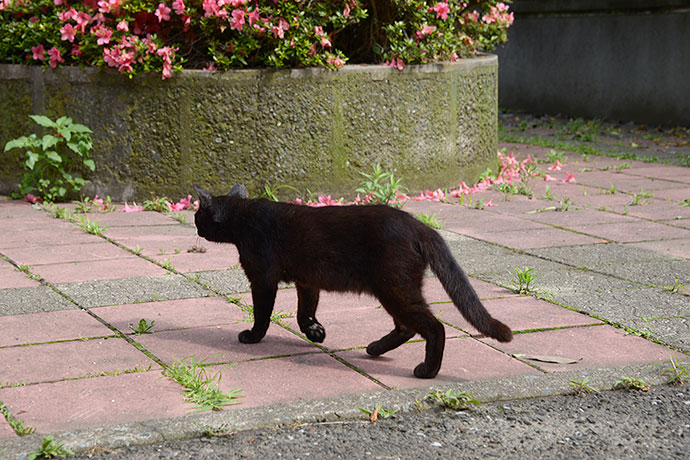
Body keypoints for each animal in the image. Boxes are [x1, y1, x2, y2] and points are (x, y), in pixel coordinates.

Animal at [191, 185, 508, 380]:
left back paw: (427, 370)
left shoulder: (262, 279)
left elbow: (262, 313)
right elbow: (304, 311)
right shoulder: (307, 280)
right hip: (395, 289)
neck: (242, 217)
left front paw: (253, 336)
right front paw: (315, 332)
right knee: (407, 327)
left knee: (434, 327)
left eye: (196, 215)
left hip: (394, 288)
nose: (195, 226)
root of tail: (420, 225)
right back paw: (375, 349)